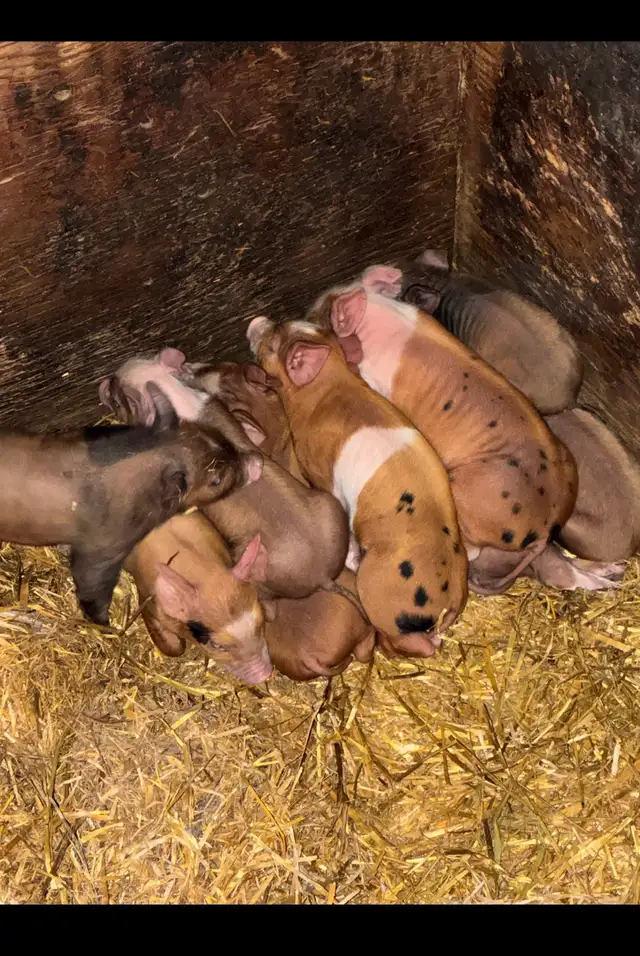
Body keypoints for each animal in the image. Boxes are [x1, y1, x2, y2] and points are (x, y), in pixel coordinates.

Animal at [0, 386, 261, 626]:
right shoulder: (103, 546)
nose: (255, 461)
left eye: (216, 436)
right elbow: (90, 579)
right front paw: (106, 624)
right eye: (216, 479)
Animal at [125, 511, 273, 685]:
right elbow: (175, 648)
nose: (265, 675)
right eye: (218, 646)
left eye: (261, 623)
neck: (205, 576)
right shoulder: (147, 598)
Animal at [247, 318, 468, 659]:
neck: (326, 386)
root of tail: (450, 599)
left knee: (416, 643)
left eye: (272, 344)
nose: (257, 320)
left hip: (377, 593)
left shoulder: (320, 471)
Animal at [307, 268, 625, 595]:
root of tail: (545, 521)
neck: (378, 318)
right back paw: (613, 574)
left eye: (320, 317)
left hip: (465, 494)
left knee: (472, 550)